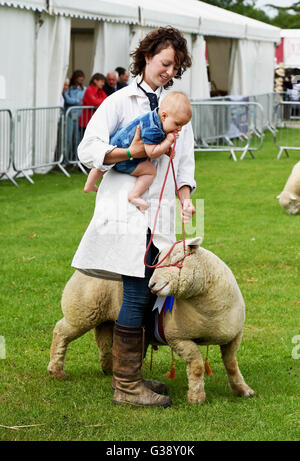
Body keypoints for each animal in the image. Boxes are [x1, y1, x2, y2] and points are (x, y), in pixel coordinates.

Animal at [48, 237, 254, 402]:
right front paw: (196, 397)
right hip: (81, 312)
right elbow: (196, 367)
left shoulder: (234, 336)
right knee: (60, 331)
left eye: (177, 260)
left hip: (105, 318)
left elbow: (231, 364)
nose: (152, 285)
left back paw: (111, 370)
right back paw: (56, 370)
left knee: (106, 343)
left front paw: (242, 390)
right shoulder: (178, 338)